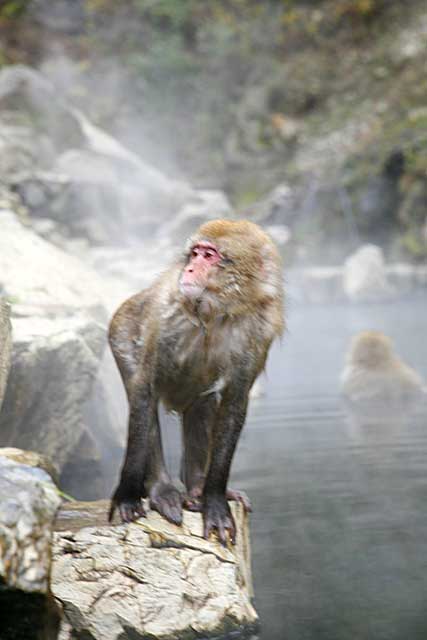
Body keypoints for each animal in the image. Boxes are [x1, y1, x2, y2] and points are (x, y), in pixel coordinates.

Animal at [108, 218, 286, 544]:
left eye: (209, 256)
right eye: (195, 253)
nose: (190, 269)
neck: (218, 311)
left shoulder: (260, 331)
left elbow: (234, 403)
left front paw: (214, 500)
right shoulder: (163, 315)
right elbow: (144, 387)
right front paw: (127, 494)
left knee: (203, 405)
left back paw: (196, 486)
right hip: (121, 333)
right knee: (143, 398)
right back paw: (161, 489)